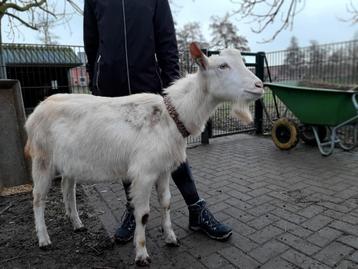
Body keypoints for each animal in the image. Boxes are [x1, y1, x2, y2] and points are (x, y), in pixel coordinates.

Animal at [24, 43, 262, 264]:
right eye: (222, 66)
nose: (259, 85)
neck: (171, 117)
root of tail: (36, 111)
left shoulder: (163, 169)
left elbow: (166, 202)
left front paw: (171, 238)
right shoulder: (144, 172)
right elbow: (144, 213)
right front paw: (141, 254)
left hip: (69, 161)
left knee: (67, 188)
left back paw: (77, 223)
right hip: (42, 158)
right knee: (38, 198)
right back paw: (44, 239)